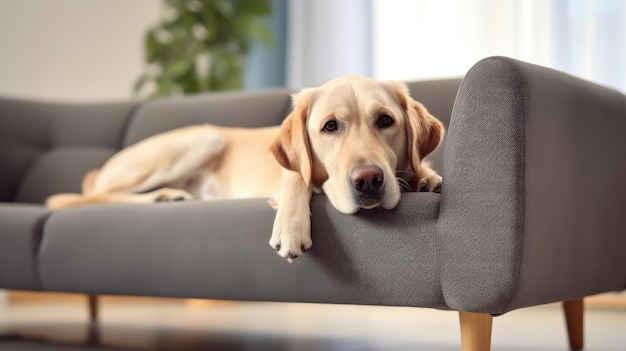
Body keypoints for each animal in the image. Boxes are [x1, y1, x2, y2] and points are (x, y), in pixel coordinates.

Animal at [46, 75, 442, 260]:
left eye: (385, 120)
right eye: (330, 126)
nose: (369, 180)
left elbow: (421, 168)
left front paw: (427, 178)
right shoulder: (291, 174)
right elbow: (296, 179)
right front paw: (291, 228)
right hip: (203, 139)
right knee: (81, 197)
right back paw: (163, 196)